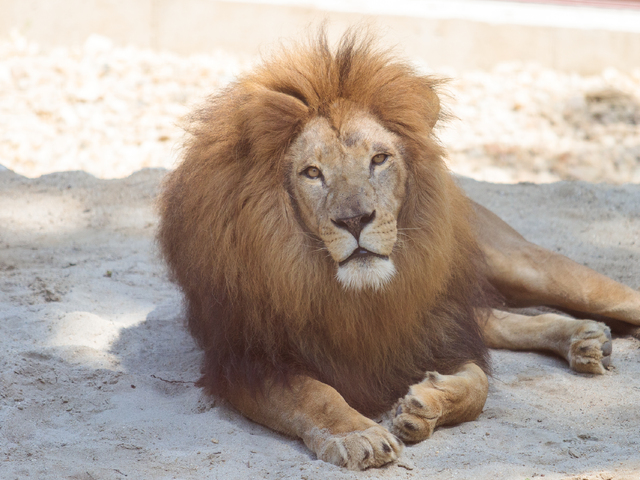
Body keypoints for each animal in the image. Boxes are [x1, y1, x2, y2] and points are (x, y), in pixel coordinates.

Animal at [159, 31, 640, 470]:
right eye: (312, 172)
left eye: (379, 159)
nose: (354, 220)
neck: (359, 296)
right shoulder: (245, 360)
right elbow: (313, 393)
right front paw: (358, 435)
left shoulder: (435, 327)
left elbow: (479, 385)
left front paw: (423, 407)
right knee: (498, 319)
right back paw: (583, 340)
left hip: (523, 266)